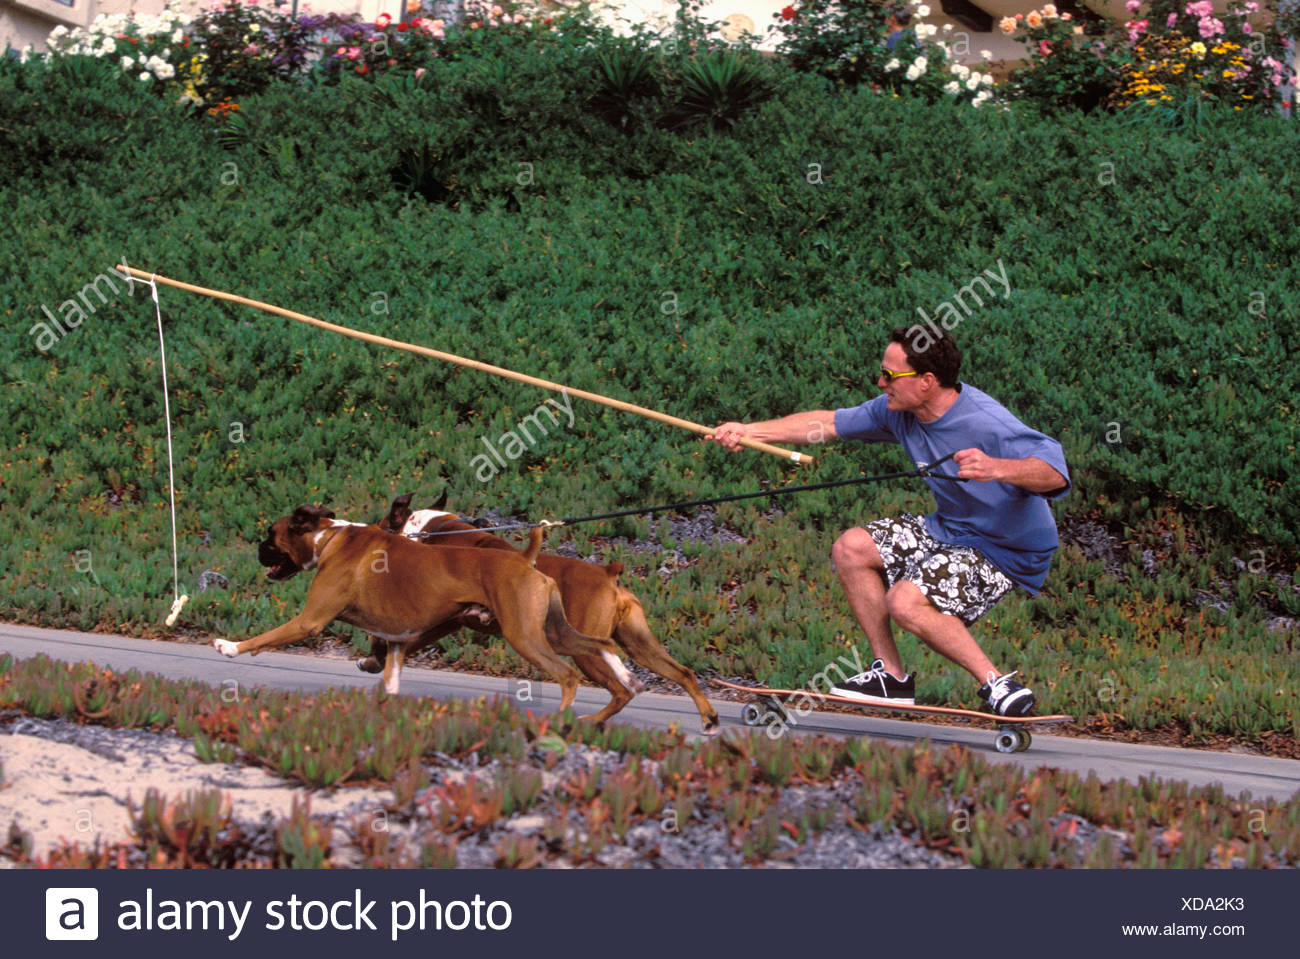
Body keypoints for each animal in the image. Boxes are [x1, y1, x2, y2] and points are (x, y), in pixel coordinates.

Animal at [208, 501, 634, 717]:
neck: (329, 537)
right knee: (601, 646)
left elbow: (266, 637)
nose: (258, 549)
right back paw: (624, 677)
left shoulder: (309, 621)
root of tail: (523, 558)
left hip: (526, 637)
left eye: (271, 535)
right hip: (556, 632)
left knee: (567, 675)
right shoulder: (399, 640)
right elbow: (390, 678)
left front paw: (229, 647)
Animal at [356, 493, 722, 732]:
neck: (434, 530)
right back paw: (709, 718)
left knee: (619, 688)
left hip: (579, 650)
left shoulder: (445, 619)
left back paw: (587, 721)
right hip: (639, 644)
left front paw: (374, 660)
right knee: (682, 673)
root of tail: (609, 574)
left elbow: (391, 638)